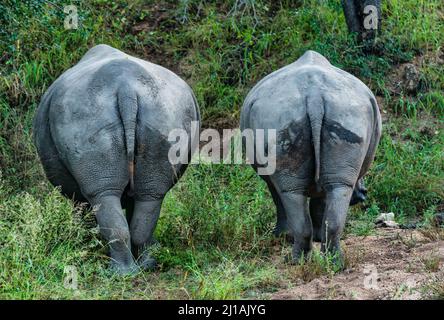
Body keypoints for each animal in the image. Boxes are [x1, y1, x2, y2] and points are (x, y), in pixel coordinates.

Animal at [33, 44, 200, 276]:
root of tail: (126, 88)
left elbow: (85, 209)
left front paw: (84, 244)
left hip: (83, 115)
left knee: (103, 194)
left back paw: (117, 273)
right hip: (164, 111)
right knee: (150, 195)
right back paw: (144, 266)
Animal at [239, 50, 382, 264]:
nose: (363, 193)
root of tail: (314, 95)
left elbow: (283, 198)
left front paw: (285, 236)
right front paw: (309, 237)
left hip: (282, 117)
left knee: (293, 190)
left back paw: (297, 261)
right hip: (346, 113)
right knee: (336, 186)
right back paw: (332, 263)